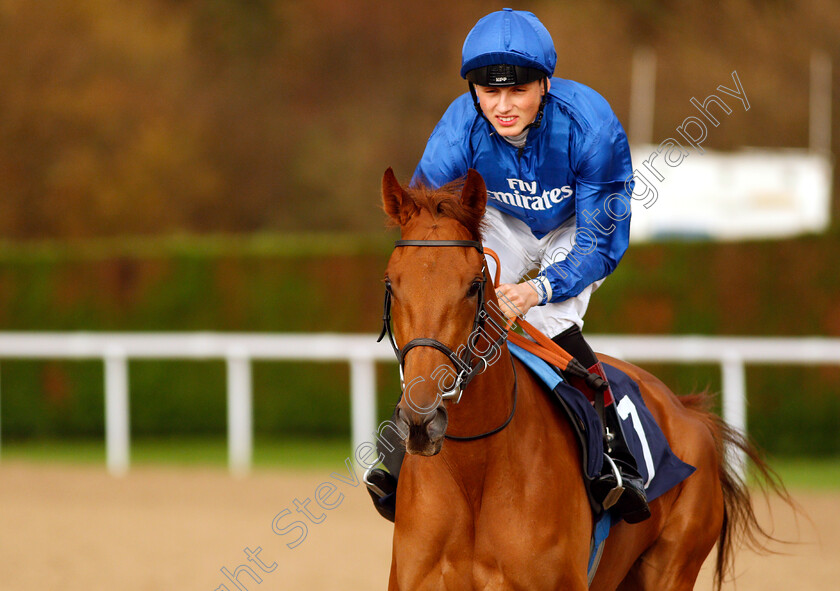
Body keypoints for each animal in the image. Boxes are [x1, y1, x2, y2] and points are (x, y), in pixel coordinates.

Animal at [378, 168, 780, 591]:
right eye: (390, 283)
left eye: (474, 285)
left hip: (673, 564)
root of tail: (688, 411)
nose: (422, 420)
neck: (475, 471)